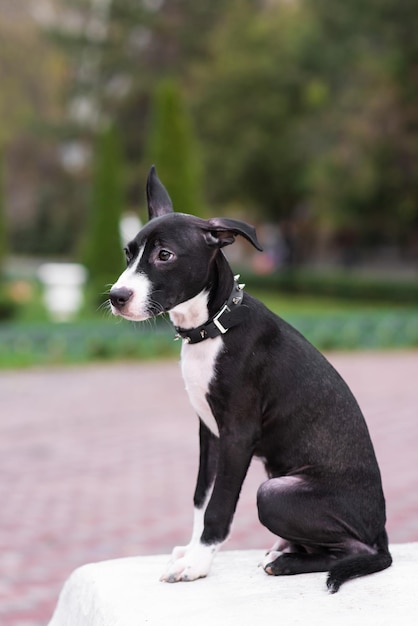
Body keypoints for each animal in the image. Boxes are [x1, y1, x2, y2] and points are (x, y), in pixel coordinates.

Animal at [110, 165, 392, 588]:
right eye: (129, 253)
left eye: (165, 256)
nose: (116, 296)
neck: (214, 326)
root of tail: (383, 533)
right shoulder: (209, 433)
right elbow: (201, 497)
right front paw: (192, 551)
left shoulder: (237, 435)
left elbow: (219, 505)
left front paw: (198, 564)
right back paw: (286, 551)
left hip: (274, 492)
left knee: (355, 550)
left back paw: (288, 561)